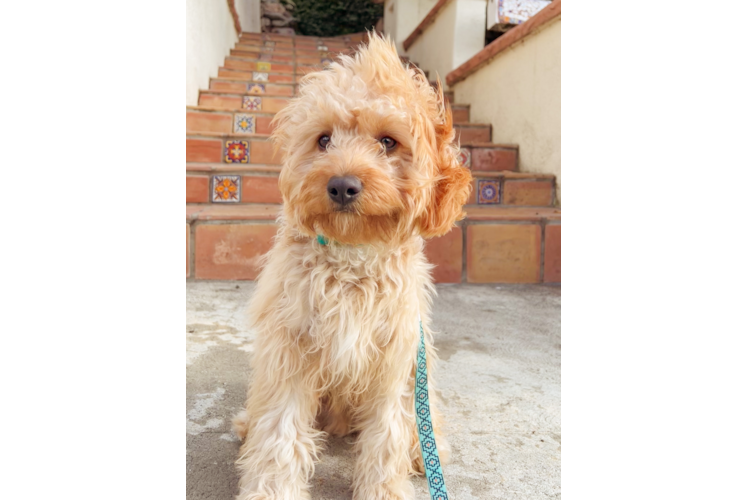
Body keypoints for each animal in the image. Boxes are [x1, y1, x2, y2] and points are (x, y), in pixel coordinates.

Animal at [231, 33, 470, 498]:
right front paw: (271, 490)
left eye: (388, 142)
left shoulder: (395, 361)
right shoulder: (290, 350)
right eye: (324, 140)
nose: (342, 185)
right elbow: (280, 433)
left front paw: (384, 490)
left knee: (421, 421)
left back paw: (425, 451)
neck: (352, 261)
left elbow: (387, 436)